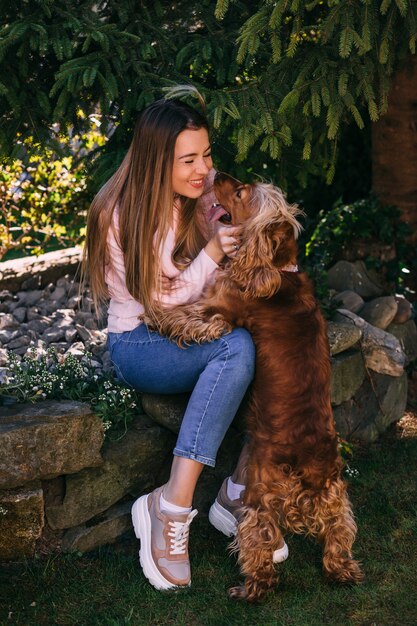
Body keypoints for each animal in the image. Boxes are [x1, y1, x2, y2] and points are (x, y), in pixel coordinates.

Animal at [151, 172, 362, 600]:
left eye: (242, 192)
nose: (218, 173)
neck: (276, 265)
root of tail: (308, 468)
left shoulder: (217, 313)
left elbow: (181, 316)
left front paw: (155, 316)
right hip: (335, 493)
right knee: (339, 528)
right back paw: (342, 570)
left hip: (261, 491)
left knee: (259, 539)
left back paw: (251, 588)